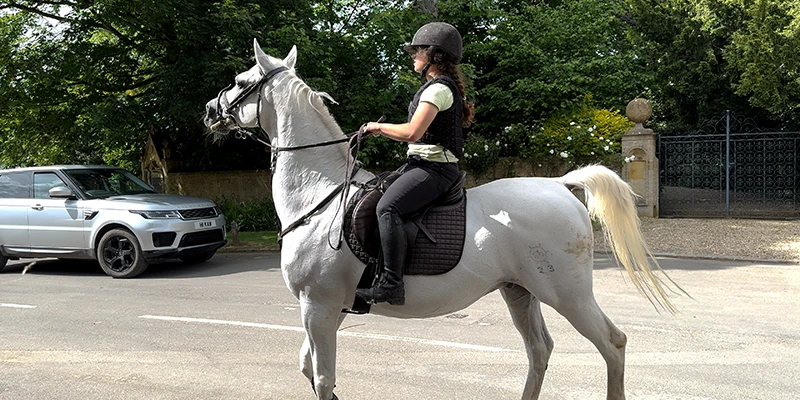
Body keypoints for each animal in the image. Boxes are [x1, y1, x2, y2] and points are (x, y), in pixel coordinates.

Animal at [204, 39, 680, 400]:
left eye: (241, 81)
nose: (209, 110)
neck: (320, 194)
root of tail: (560, 185)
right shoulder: (330, 307)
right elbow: (307, 367)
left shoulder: (317, 306)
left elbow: (321, 378)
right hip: (519, 292)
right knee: (539, 351)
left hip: (568, 294)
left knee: (612, 344)